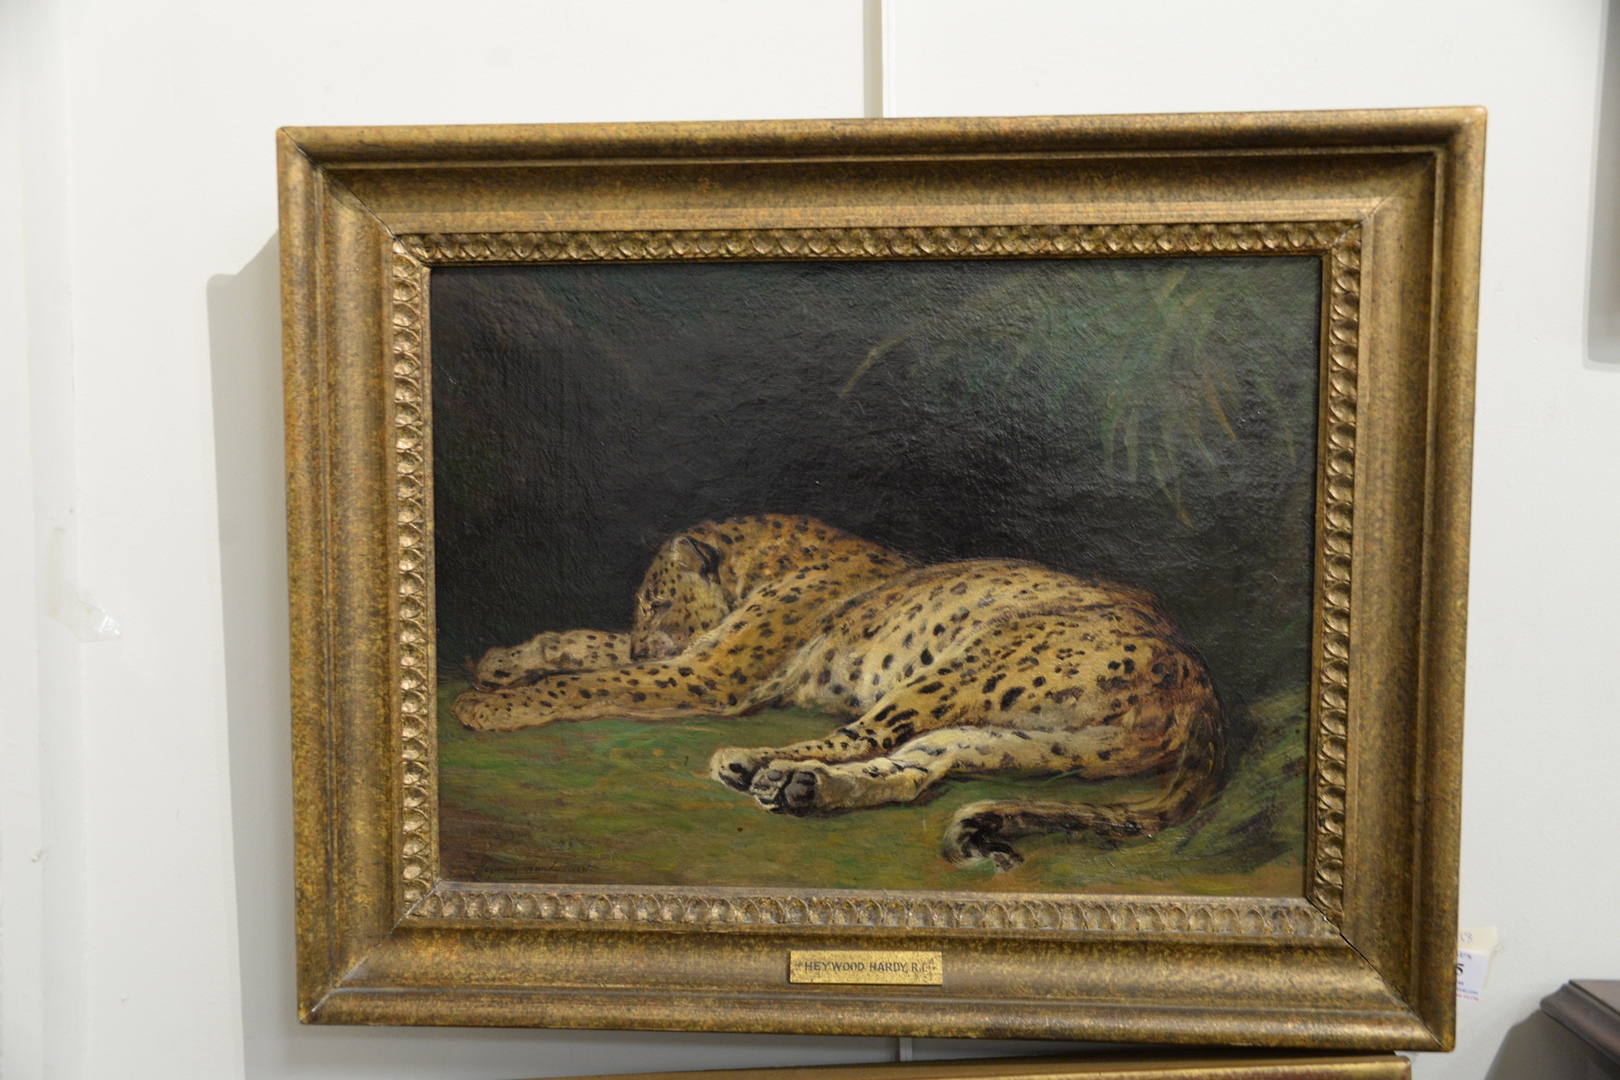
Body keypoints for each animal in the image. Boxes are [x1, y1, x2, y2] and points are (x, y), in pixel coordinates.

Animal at [453, 513, 1225, 870]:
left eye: (656, 601)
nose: (648, 638)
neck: (768, 562)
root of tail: (1199, 676)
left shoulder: (708, 672)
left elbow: (595, 679)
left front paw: (491, 703)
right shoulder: (695, 657)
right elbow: (587, 643)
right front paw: (503, 661)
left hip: (969, 660)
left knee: (870, 733)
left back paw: (757, 767)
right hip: (1022, 740)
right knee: (916, 766)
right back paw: (799, 785)